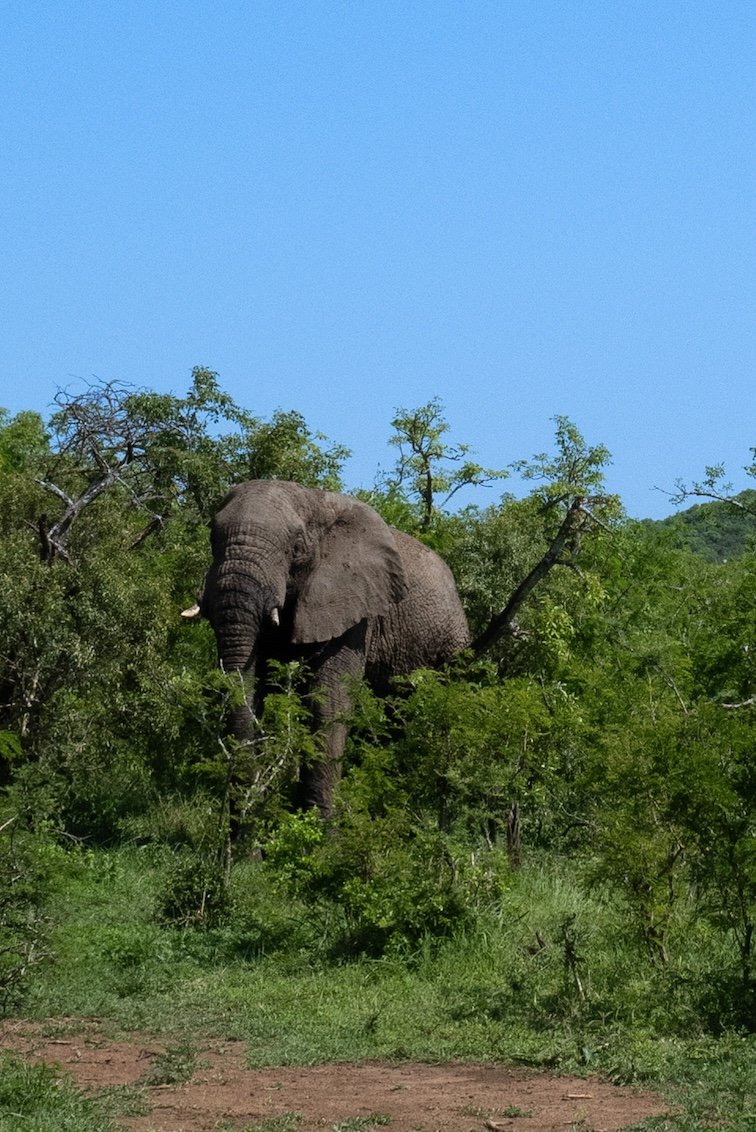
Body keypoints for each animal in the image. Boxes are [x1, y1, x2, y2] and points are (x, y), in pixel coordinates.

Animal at [182, 482, 466, 819]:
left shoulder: (354, 606)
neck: (313, 501)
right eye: (212, 539)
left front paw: (319, 830)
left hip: (452, 641)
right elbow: (258, 689)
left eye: (295, 548)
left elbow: (328, 700)